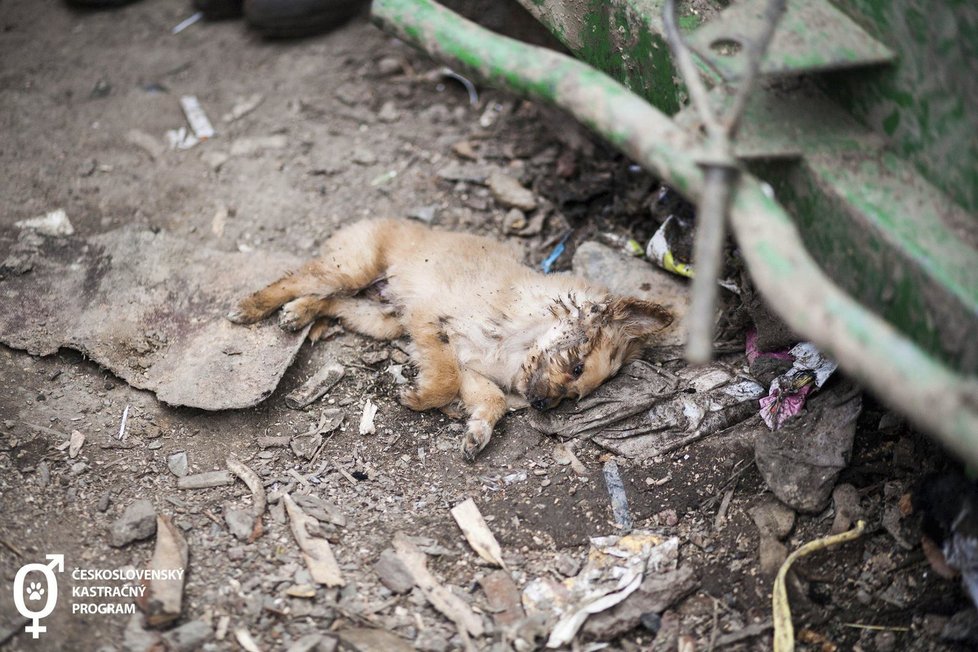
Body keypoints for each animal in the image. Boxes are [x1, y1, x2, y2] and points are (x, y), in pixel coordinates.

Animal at [228, 219, 672, 458]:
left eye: (575, 397)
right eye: (576, 367)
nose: (543, 405)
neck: (518, 340)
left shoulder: (472, 370)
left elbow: (490, 400)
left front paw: (477, 433)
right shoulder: (431, 322)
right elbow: (443, 379)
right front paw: (419, 397)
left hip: (382, 317)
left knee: (330, 300)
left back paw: (298, 313)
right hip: (354, 270)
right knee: (299, 279)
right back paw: (252, 306)